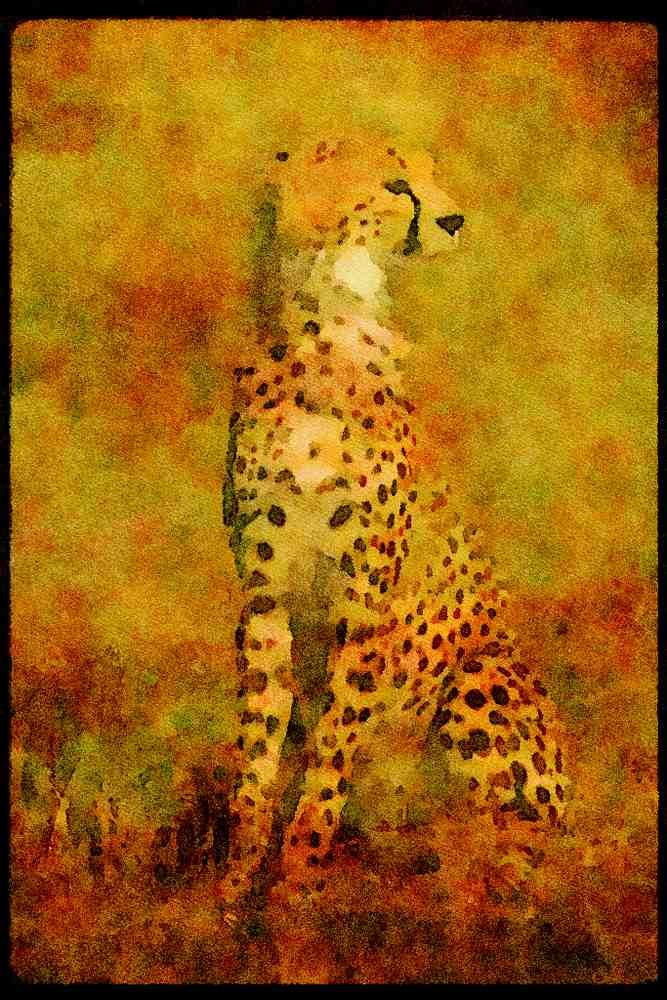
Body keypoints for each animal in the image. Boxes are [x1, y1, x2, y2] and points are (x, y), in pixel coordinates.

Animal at [220, 136, 569, 915]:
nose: (454, 219)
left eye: (431, 176)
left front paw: (295, 890)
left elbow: (328, 758)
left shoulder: (365, 604)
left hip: (481, 680)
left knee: (522, 841)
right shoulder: (263, 597)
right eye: (394, 185)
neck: (327, 327)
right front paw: (230, 889)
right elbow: (257, 755)